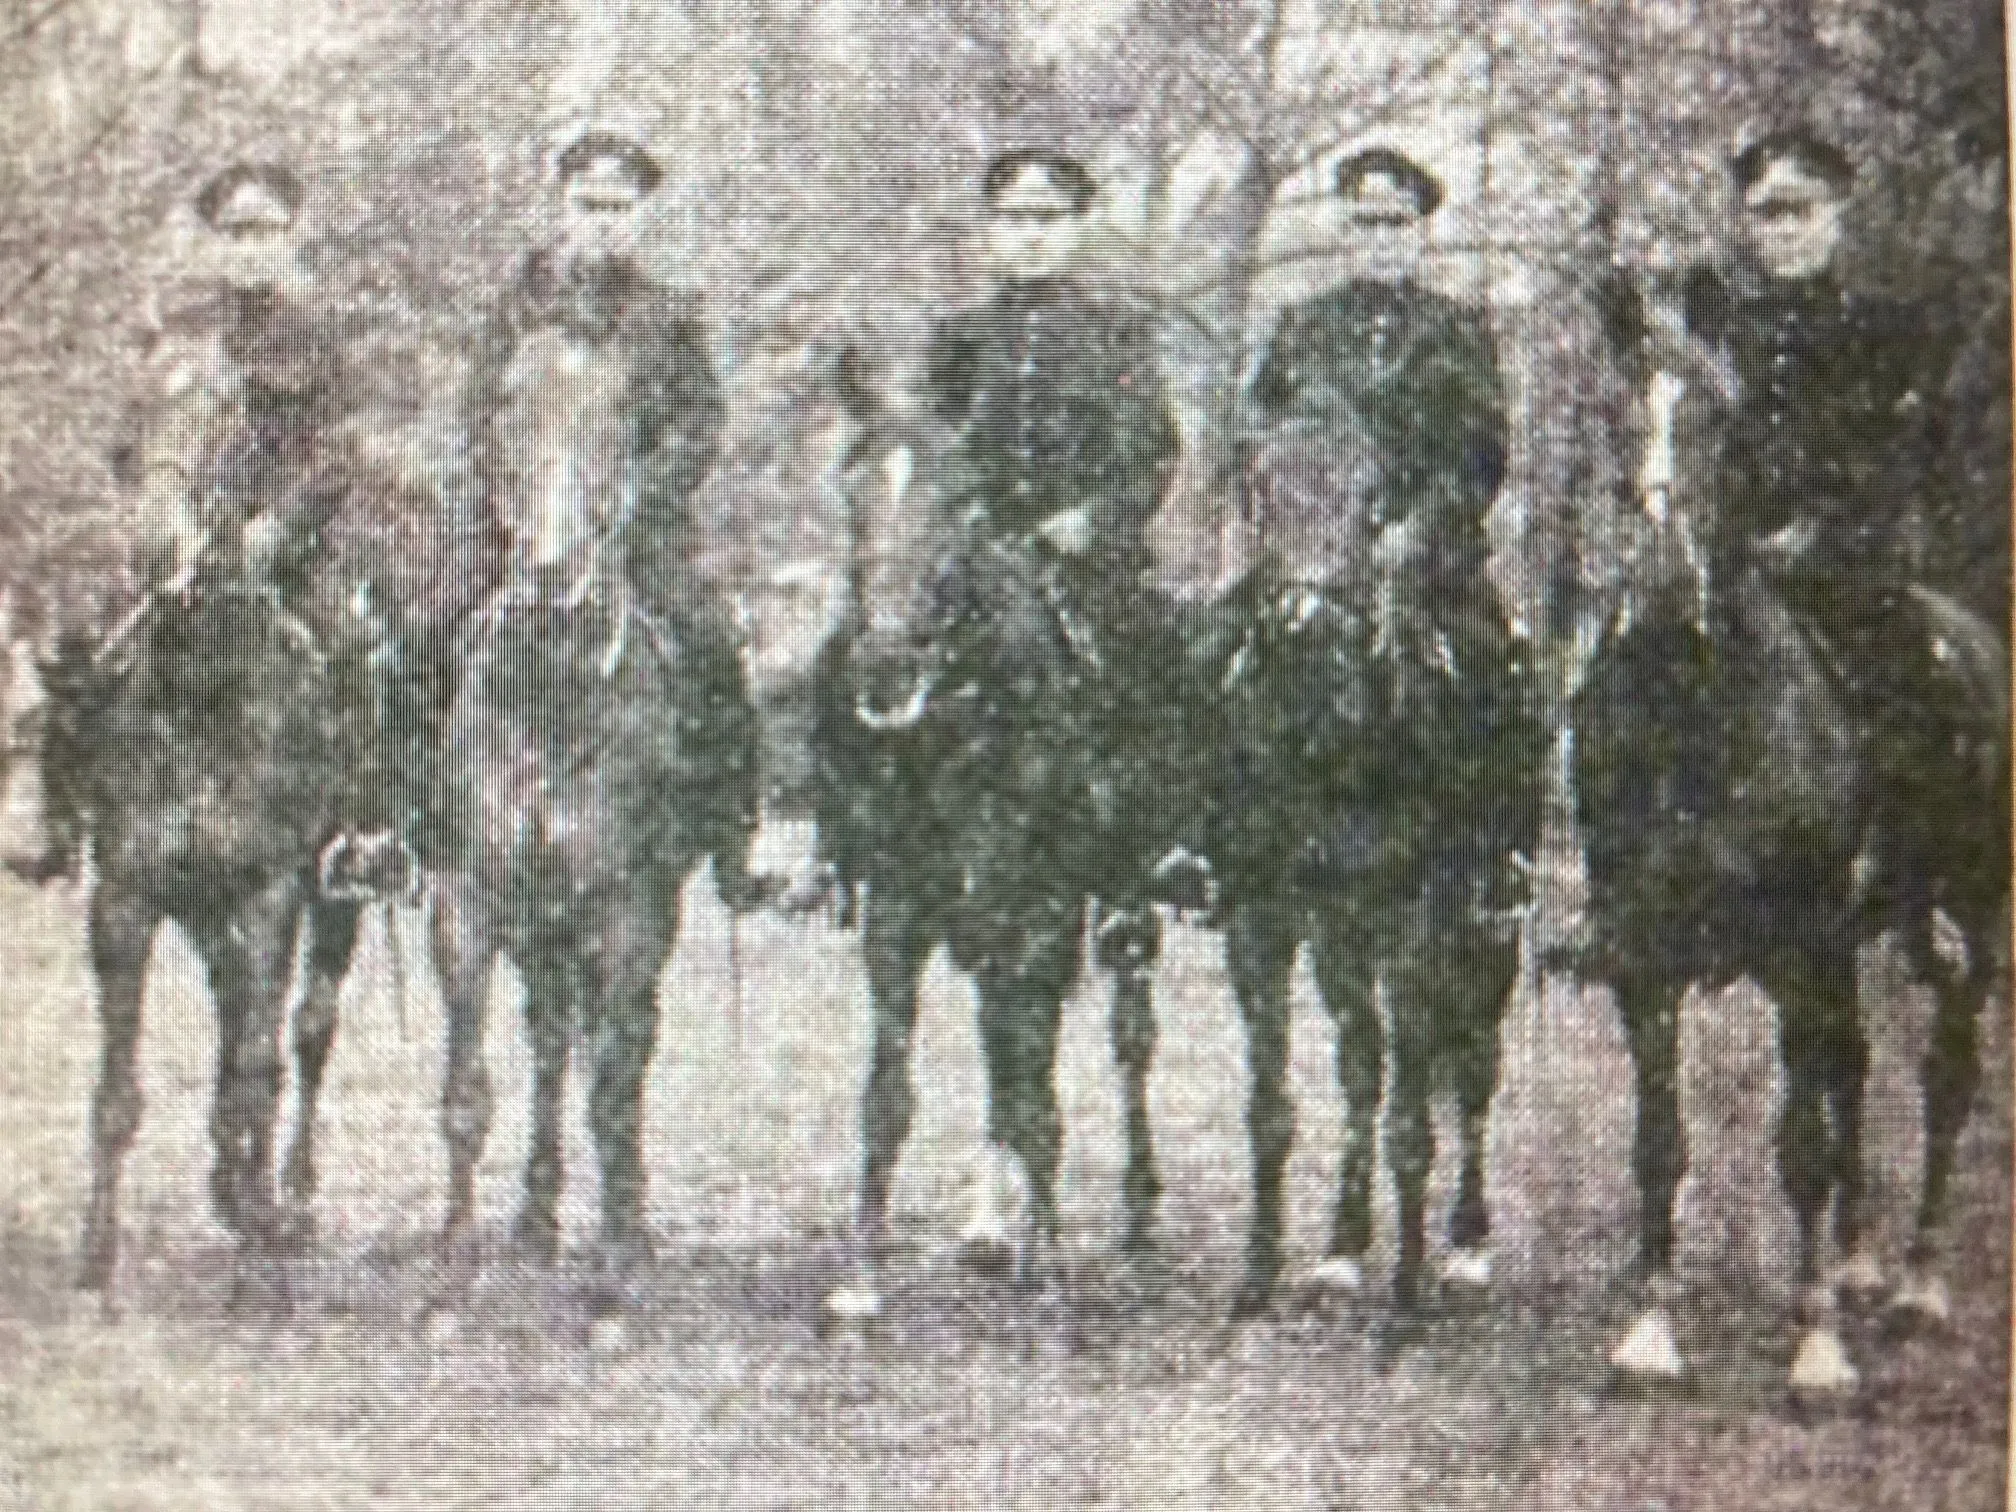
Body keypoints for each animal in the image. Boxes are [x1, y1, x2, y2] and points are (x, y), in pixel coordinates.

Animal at [1580, 340, 2007, 1395]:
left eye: (1720, 422)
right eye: (1614, 411)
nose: (1663, 582)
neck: (1698, 712)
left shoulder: (1801, 949)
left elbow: (1803, 1149)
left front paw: (1816, 1351)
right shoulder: (1647, 965)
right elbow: (1660, 1144)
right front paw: (1650, 1331)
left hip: (1968, 926)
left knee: (1945, 1077)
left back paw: (1917, 1284)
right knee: (1852, 1066)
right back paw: (1856, 1265)